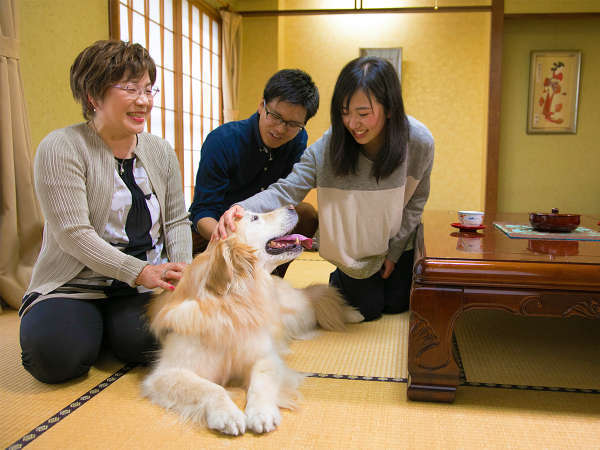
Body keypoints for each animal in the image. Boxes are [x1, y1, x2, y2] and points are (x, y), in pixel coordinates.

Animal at [143, 206, 364, 434]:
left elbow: (261, 382)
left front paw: (261, 413)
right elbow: (211, 388)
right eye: (255, 218)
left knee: (315, 297)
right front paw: (227, 414)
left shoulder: (264, 356)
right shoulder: (169, 373)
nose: (291, 207)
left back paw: (353, 314)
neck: (233, 304)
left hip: (297, 310)